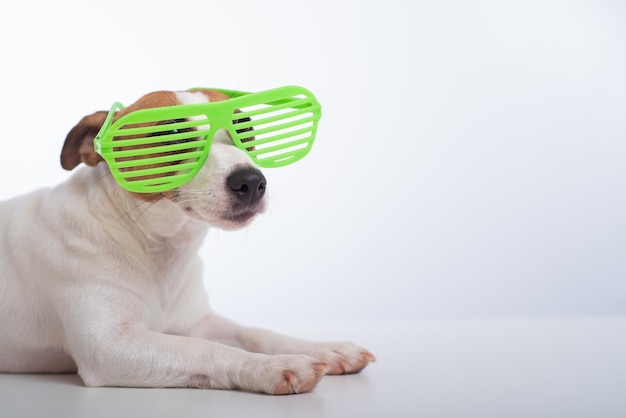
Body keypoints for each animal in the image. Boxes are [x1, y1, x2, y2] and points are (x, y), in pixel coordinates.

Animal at [0, 88, 370, 396]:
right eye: (172, 135)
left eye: (245, 128)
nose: (251, 181)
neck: (152, 243)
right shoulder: (108, 345)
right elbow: (207, 350)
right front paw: (274, 365)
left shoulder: (197, 322)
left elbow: (256, 333)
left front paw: (325, 348)